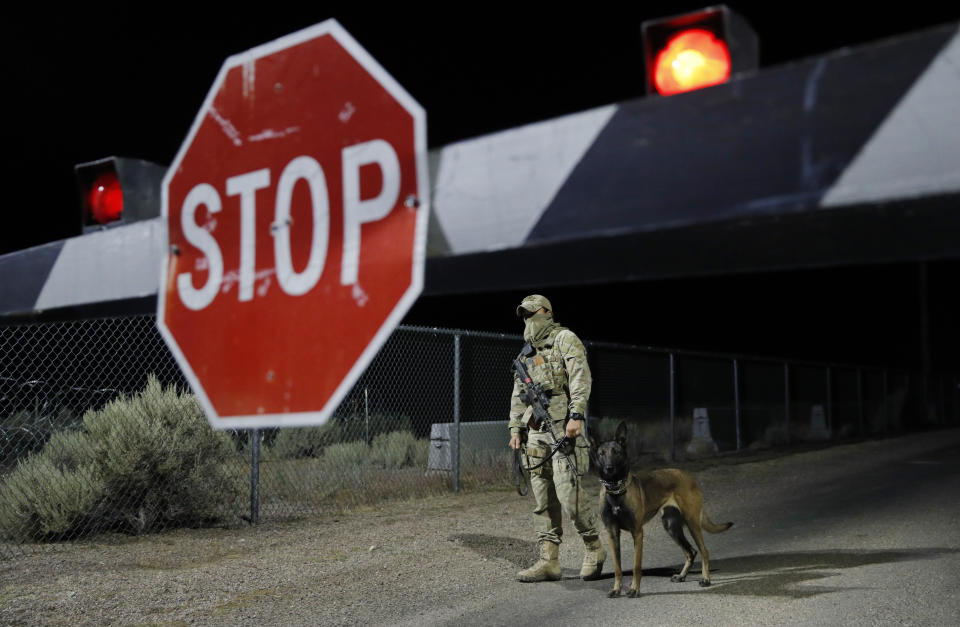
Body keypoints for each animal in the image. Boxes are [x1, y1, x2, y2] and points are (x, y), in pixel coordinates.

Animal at [584, 422, 736, 600]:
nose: (609, 468)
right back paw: (682, 576)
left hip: (692, 523)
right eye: (601, 454)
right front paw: (616, 589)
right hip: (671, 527)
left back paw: (706, 579)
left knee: (704, 551)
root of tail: (687, 476)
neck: (616, 491)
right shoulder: (612, 533)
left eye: (616, 452)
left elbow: (636, 566)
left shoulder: (637, 532)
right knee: (690, 552)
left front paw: (634, 589)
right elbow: (617, 567)